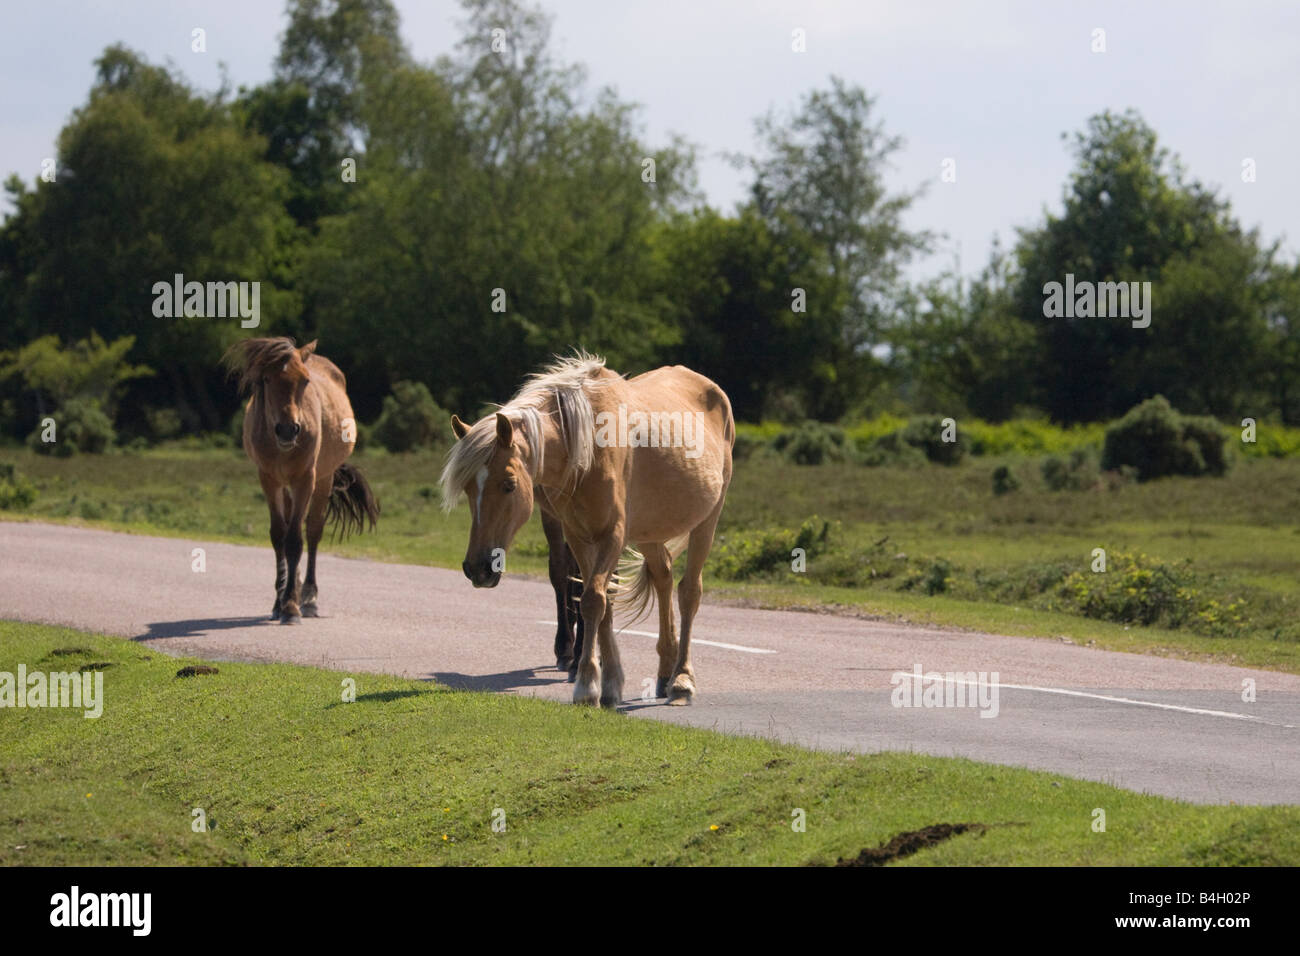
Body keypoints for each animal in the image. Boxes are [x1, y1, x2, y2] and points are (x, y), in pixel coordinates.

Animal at [220, 338, 377, 629]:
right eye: (267, 379)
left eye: (304, 380)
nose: (288, 429)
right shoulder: (269, 479)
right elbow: (279, 536)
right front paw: (279, 602)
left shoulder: (306, 478)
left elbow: (295, 539)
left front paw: (291, 607)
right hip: (287, 488)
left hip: (323, 479)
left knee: (313, 532)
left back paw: (309, 598)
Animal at [444, 356, 738, 707]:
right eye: (467, 488)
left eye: (508, 484)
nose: (478, 568)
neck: (586, 446)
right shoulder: (579, 537)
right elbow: (599, 602)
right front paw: (609, 683)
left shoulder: (612, 535)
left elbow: (594, 601)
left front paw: (586, 685)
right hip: (649, 530)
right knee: (664, 578)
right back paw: (665, 671)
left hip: (708, 519)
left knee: (689, 592)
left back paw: (681, 680)